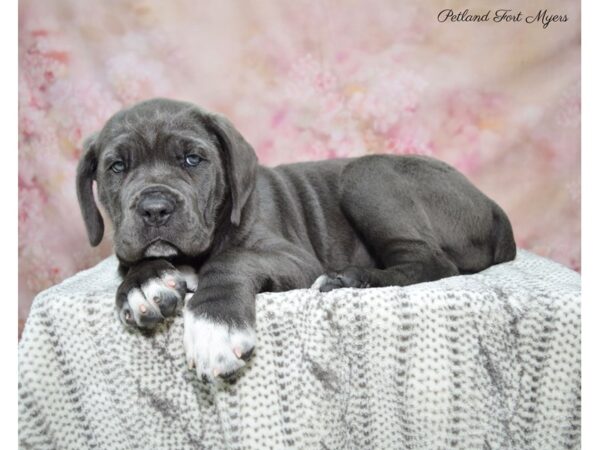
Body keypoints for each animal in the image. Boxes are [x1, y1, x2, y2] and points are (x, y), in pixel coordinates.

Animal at [75, 97, 516, 380]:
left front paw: (214, 324)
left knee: (433, 262)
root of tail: (496, 211)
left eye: (192, 159)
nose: (154, 208)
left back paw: (348, 278)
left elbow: (231, 259)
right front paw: (144, 284)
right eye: (117, 167)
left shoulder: (294, 258)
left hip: (367, 174)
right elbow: (132, 261)